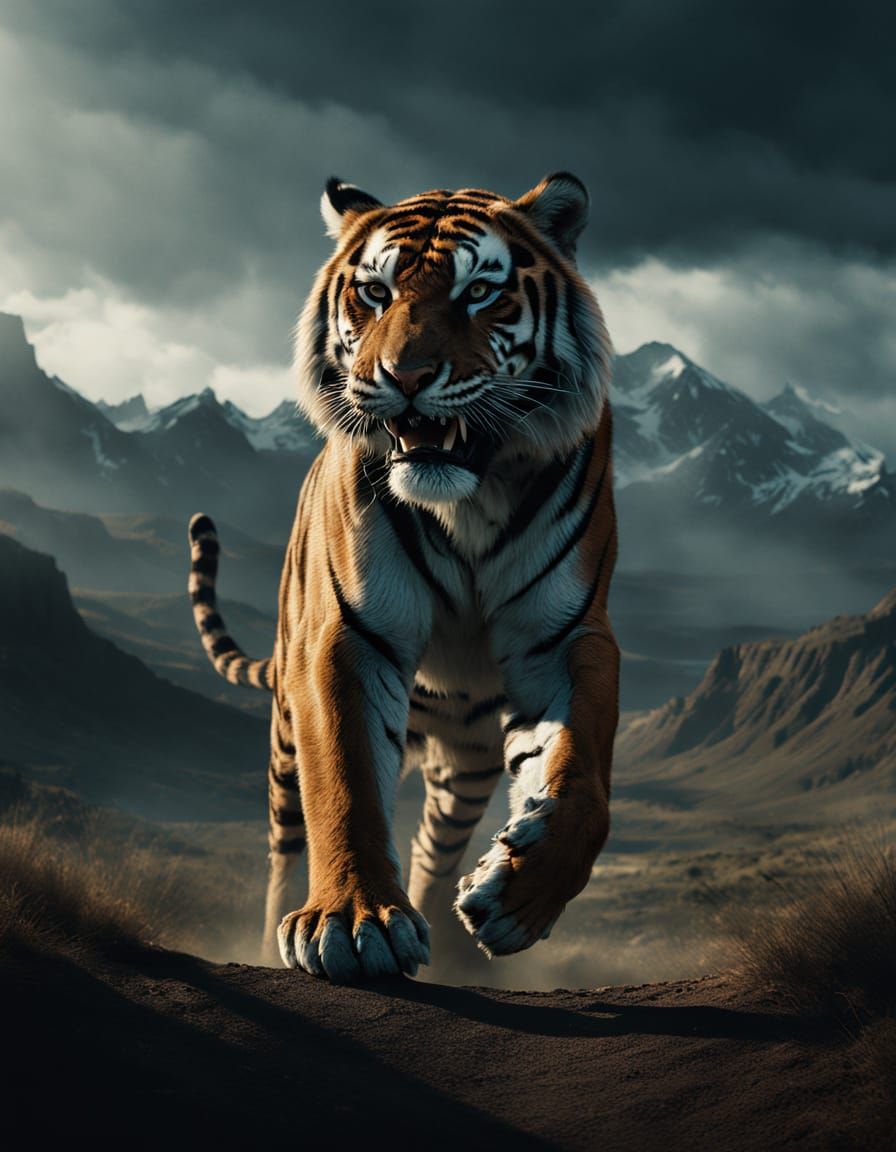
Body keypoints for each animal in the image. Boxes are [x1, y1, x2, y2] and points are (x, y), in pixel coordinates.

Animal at [188, 172, 619, 983]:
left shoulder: (562, 636)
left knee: (434, 843)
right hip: (284, 738)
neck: (469, 499)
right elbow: (347, 782)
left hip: (468, 754)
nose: (405, 377)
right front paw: (354, 923)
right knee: (285, 850)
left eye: (479, 292)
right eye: (375, 292)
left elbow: (585, 772)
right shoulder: (349, 636)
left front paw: (520, 896)